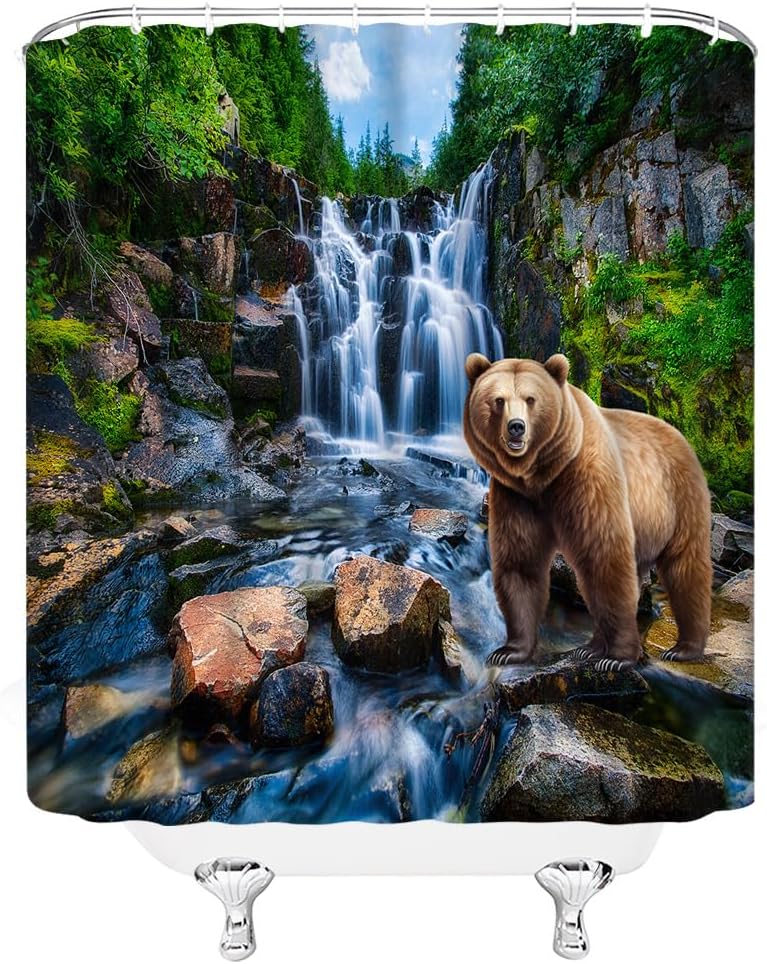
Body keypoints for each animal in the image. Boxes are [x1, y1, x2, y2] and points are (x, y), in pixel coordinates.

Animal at [463, 352, 712, 670]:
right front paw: (509, 650)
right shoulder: (515, 496)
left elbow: (604, 557)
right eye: (498, 399)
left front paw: (617, 658)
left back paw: (683, 648)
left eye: (531, 399)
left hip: (679, 497)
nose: (516, 427)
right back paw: (590, 648)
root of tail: (680, 435)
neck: (541, 474)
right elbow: (520, 563)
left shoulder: (586, 479)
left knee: (685, 566)